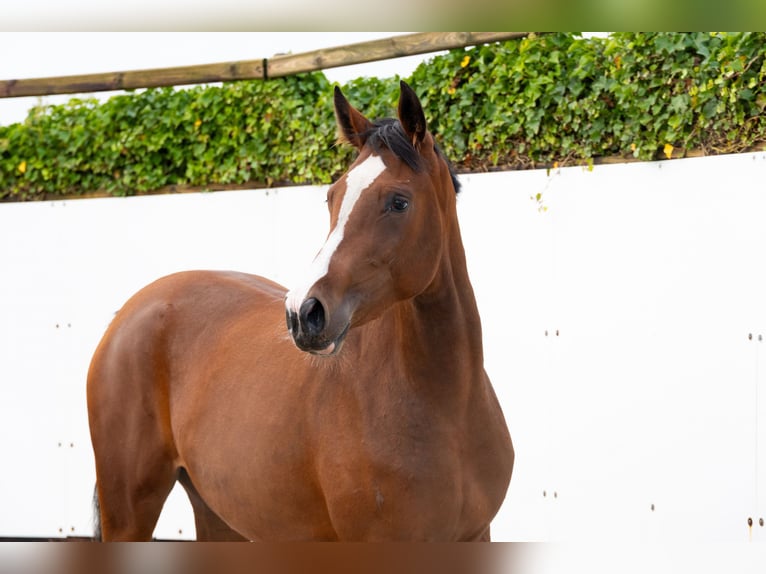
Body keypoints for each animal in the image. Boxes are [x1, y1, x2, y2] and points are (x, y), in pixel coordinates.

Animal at [87, 81, 514, 541]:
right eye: (332, 195)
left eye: (399, 202)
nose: (303, 313)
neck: (447, 409)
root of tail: (127, 313)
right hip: (129, 513)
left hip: (216, 515)